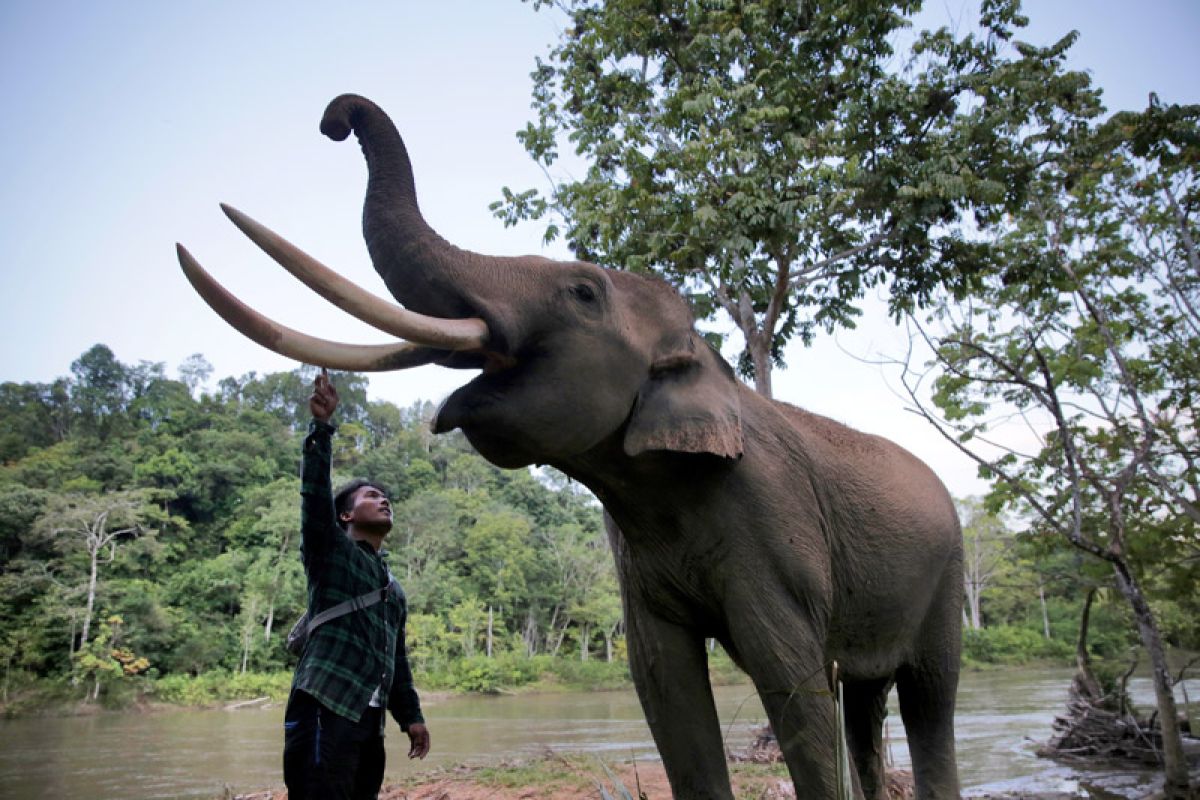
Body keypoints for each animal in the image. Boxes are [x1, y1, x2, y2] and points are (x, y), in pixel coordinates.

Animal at [177, 95, 964, 800]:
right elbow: (663, 683)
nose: (333, 121)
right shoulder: (637, 562)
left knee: (928, 697)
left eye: (582, 292)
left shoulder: (774, 524)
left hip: (947, 576)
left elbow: (791, 675)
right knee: (866, 700)